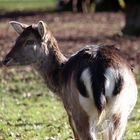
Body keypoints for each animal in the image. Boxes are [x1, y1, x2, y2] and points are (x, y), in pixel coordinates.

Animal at [2, 20, 138, 139]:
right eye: (17, 40)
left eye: (29, 41)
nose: (5, 60)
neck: (59, 78)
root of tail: (99, 71)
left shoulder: (69, 112)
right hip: (120, 113)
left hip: (80, 111)